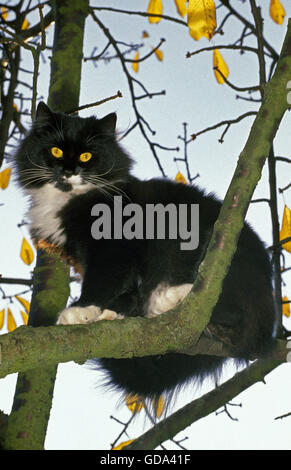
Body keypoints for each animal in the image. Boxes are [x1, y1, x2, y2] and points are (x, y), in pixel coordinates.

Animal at [14, 103, 278, 404]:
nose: (69, 171)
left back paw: (174, 298)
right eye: (56, 150)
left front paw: (81, 310)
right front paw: (110, 312)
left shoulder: (116, 247)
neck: (71, 199)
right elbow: (124, 290)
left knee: (225, 308)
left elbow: (102, 281)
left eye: (86, 155)